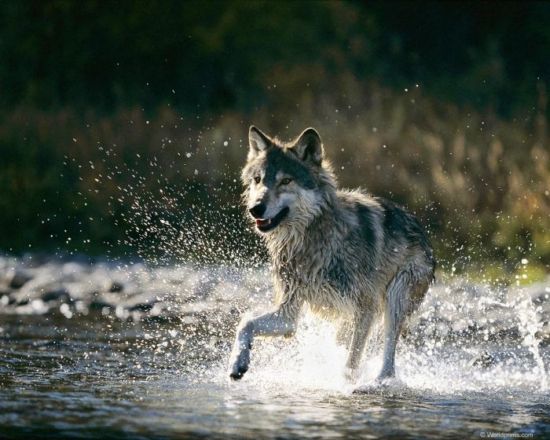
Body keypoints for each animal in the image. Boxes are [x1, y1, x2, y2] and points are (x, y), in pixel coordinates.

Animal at [229, 125, 436, 384]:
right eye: (257, 180)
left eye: (286, 181)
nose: (255, 208)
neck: (312, 242)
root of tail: (423, 232)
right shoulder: (288, 315)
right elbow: (245, 323)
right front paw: (237, 363)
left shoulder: (366, 308)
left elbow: (351, 364)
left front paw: (346, 386)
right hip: (346, 318)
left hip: (393, 299)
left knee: (388, 362)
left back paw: (378, 383)